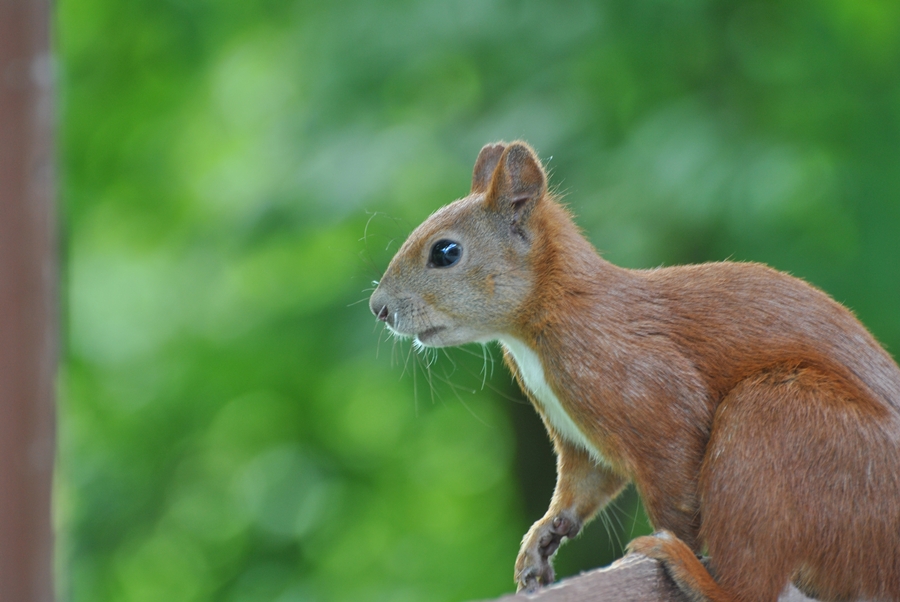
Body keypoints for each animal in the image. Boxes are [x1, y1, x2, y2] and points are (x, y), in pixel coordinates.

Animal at [366, 142, 900, 600]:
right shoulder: (580, 439)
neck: (540, 323)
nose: (379, 308)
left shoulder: (653, 393)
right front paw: (541, 539)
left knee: (752, 588)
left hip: (781, 421)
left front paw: (654, 552)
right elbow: (582, 483)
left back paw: (690, 571)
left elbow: (677, 491)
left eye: (446, 252)